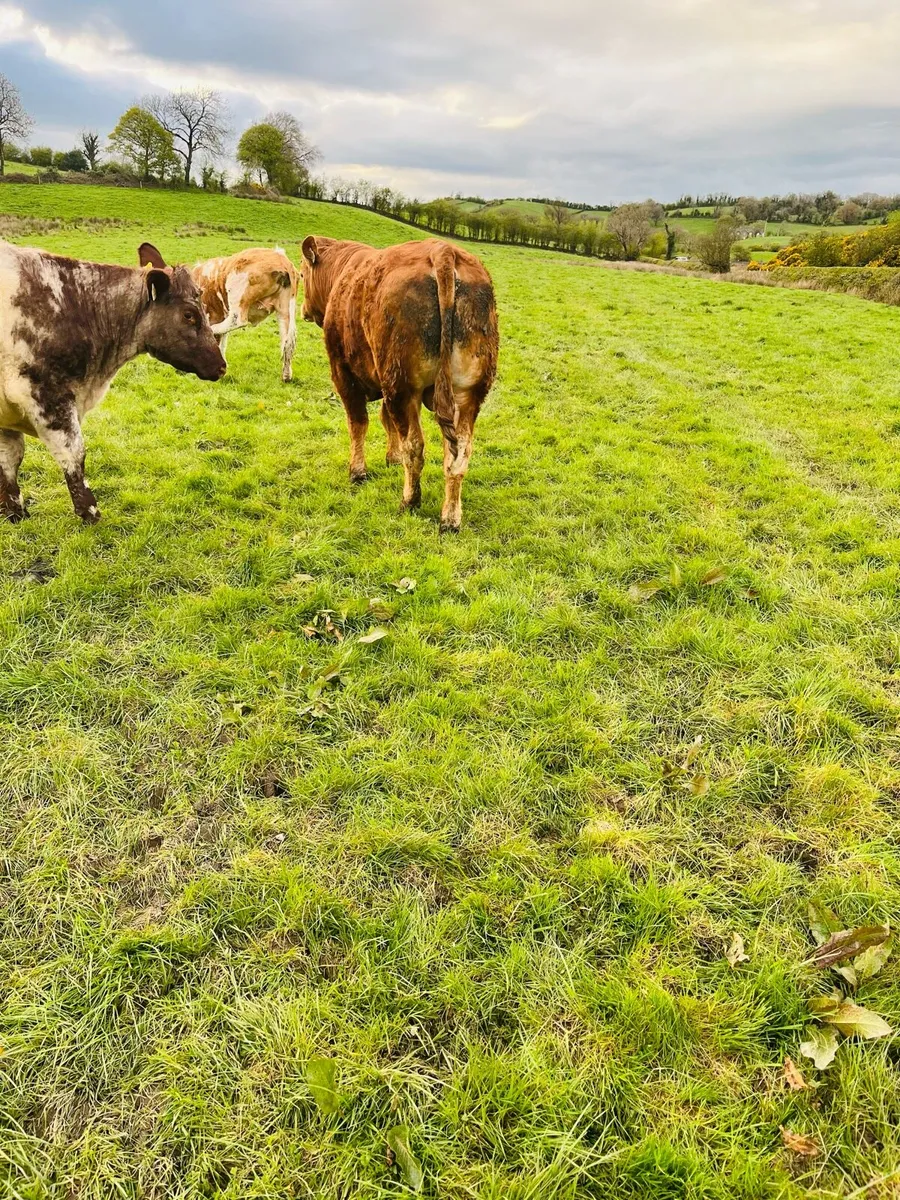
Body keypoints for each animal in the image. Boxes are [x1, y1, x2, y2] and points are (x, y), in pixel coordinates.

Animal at [0, 241, 225, 524]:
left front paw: (14, 512)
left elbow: (9, 459)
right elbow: (73, 455)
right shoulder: (47, 396)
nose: (221, 365)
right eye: (189, 314)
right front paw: (89, 512)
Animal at [192, 247, 299, 382]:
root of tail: (281, 259)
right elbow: (222, 342)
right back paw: (286, 375)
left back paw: (213, 328)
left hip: (237, 291)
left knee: (237, 320)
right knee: (288, 342)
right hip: (285, 309)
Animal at [299, 236, 499, 533]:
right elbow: (385, 420)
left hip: (403, 387)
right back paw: (450, 518)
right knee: (459, 454)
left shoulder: (343, 373)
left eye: (301, 275)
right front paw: (391, 458)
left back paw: (409, 500)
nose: (302, 310)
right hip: (467, 393)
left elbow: (358, 423)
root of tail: (443, 250)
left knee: (415, 445)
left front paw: (357, 471)